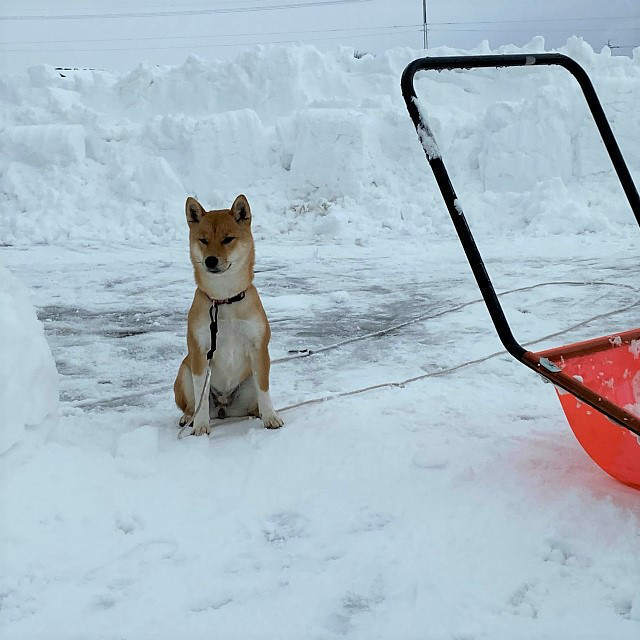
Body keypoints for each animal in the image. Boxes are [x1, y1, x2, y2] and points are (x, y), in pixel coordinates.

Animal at [175, 195, 284, 436]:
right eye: (203, 240)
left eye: (228, 239)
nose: (210, 260)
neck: (224, 299)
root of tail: (224, 407)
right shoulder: (200, 352)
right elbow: (200, 396)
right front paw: (200, 426)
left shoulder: (258, 349)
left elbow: (265, 391)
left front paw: (270, 417)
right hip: (184, 371)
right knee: (191, 404)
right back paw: (188, 418)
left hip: (249, 380)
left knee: (254, 400)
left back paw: (257, 412)